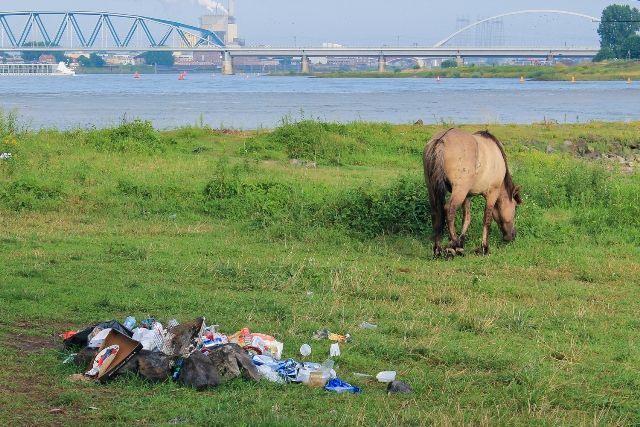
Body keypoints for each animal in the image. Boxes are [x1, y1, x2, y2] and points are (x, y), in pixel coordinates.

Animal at [422, 128, 524, 258]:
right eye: (515, 208)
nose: (512, 236)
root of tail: (441, 140)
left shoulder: (467, 195)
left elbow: (466, 219)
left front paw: (462, 243)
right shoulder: (492, 194)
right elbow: (487, 220)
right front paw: (484, 247)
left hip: (432, 188)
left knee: (436, 213)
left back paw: (438, 250)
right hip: (459, 190)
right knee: (449, 210)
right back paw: (454, 246)